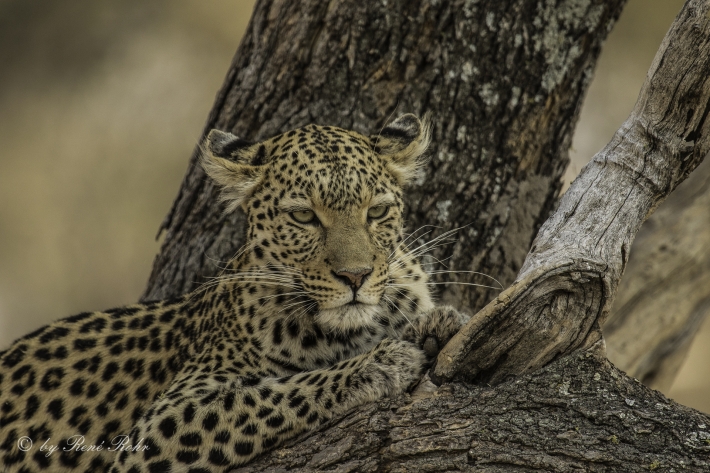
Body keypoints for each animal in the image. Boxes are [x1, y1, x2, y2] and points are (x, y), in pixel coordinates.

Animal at [0, 114, 469, 473]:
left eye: (377, 211)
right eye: (303, 217)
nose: (355, 276)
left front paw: (438, 323)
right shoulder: (165, 422)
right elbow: (278, 392)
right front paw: (381, 364)